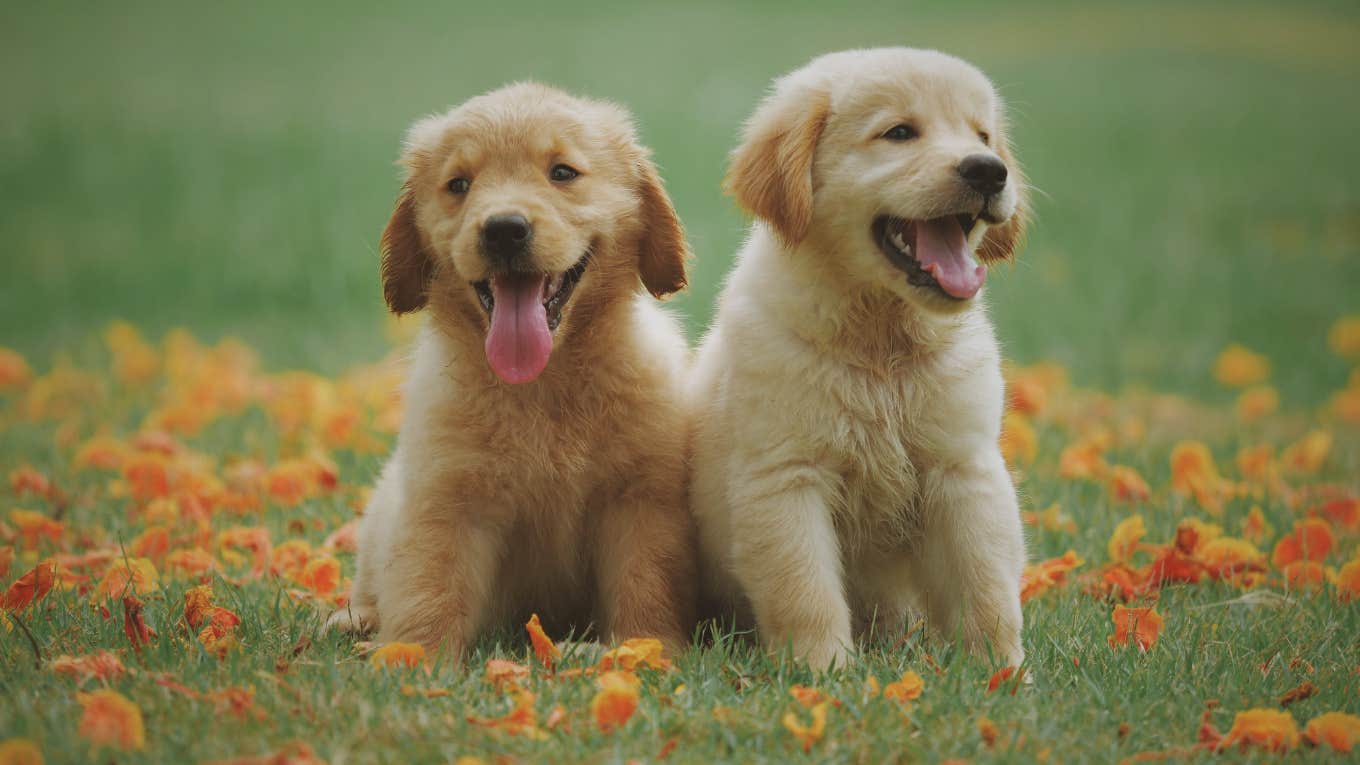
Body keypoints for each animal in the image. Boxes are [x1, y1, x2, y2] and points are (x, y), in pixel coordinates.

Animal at [696, 49, 1022, 666]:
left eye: (983, 135)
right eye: (899, 133)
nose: (990, 170)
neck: (880, 343)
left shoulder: (962, 470)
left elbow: (987, 585)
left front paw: (1003, 672)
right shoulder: (787, 476)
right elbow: (805, 589)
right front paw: (823, 671)